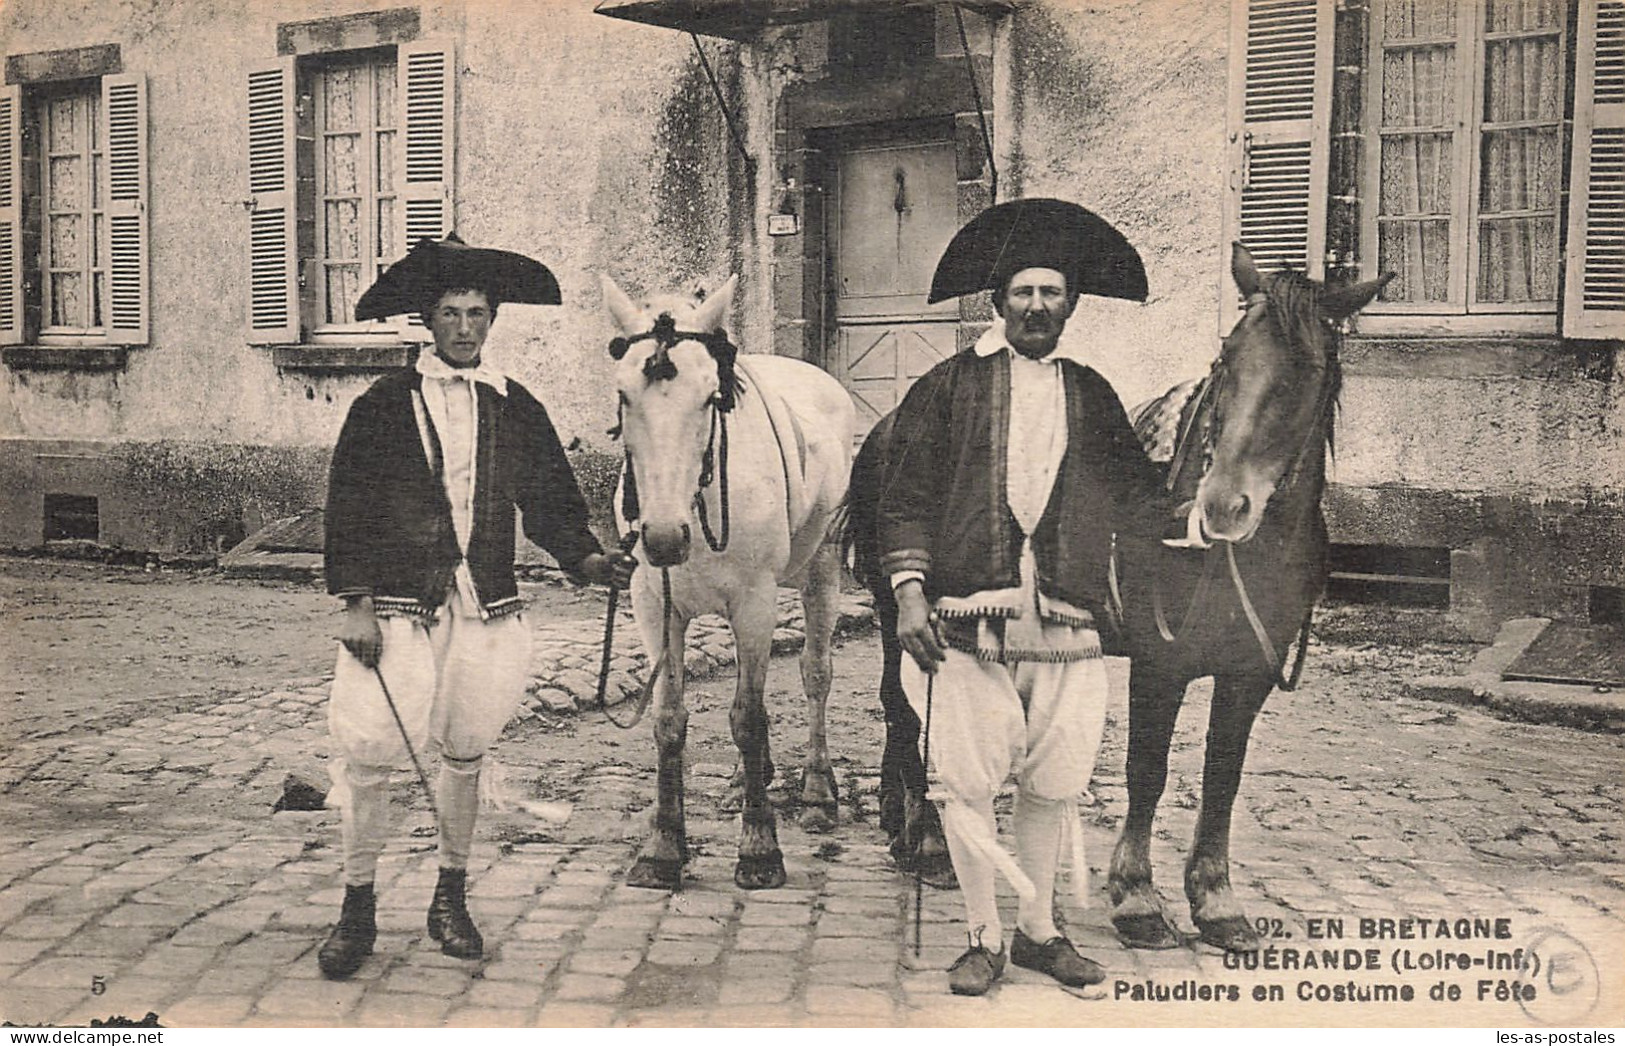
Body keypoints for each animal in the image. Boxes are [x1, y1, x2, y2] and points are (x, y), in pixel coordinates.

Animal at [598, 274, 851, 883]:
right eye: (624, 396)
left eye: (711, 398)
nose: (664, 538)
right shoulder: (655, 606)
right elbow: (669, 720)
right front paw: (663, 845)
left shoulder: (755, 601)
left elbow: (749, 717)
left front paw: (760, 848)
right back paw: (745, 780)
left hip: (821, 571)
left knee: (815, 675)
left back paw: (817, 790)